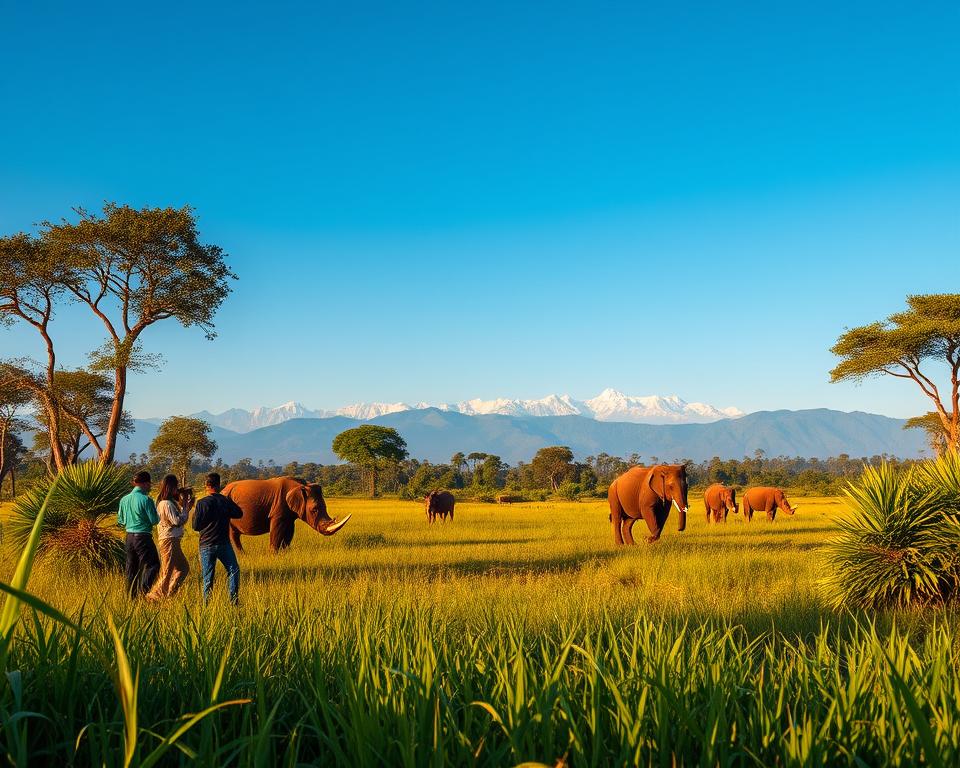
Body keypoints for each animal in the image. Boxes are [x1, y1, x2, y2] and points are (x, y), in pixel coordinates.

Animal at [223, 476, 351, 552]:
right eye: (314, 510)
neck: (301, 486)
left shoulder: (290, 515)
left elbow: (289, 532)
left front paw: (285, 552)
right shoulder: (277, 512)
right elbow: (276, 531)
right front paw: (273, 554)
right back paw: (242, 554)